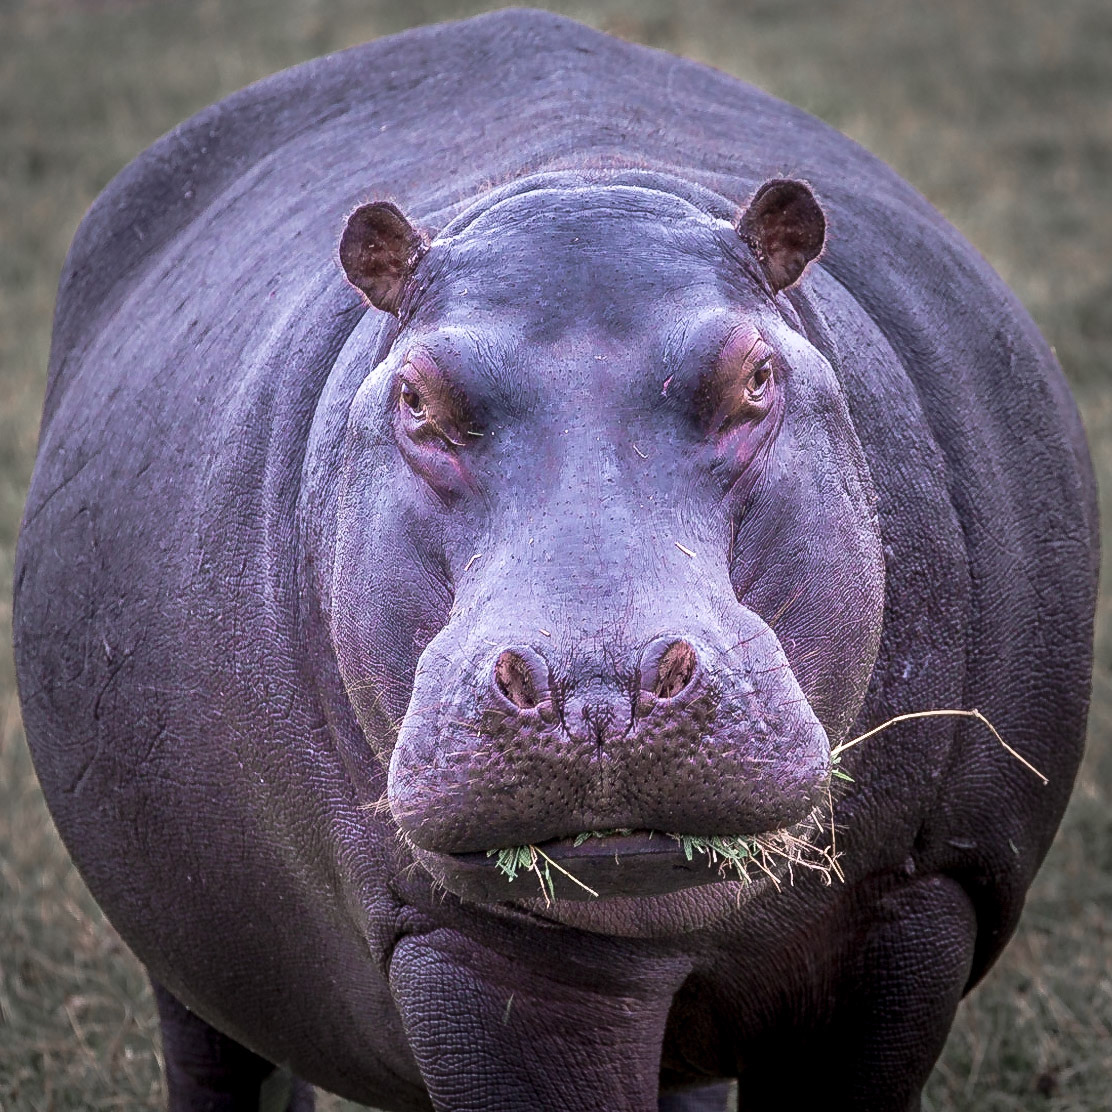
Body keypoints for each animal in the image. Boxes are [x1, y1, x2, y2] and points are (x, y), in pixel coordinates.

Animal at [12, 9, 1098, 1112]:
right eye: (415, 397)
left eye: (756, 376)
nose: (596, 689)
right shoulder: (482, 956)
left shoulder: (913, 903)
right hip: (192, 960)